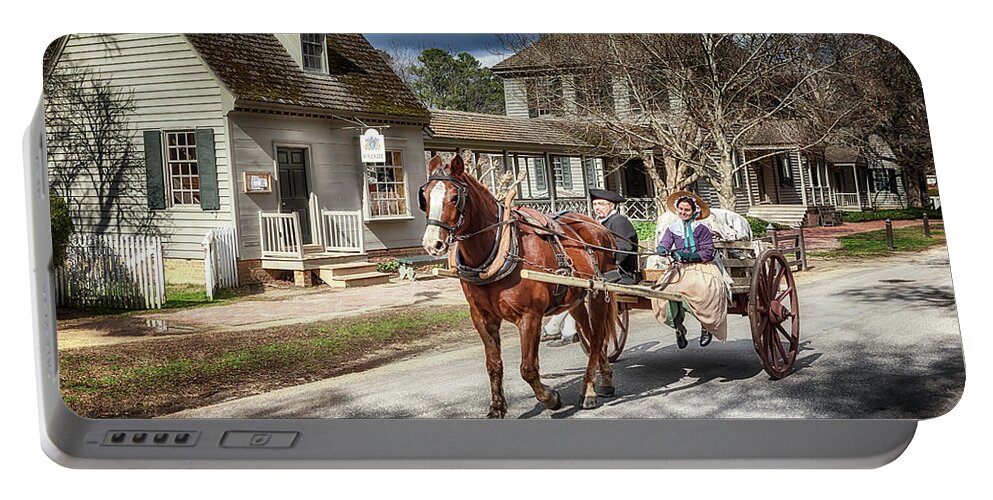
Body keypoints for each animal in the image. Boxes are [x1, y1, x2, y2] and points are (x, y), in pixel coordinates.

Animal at [418, 153, 620, 418]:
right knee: (588, 334)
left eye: (455, 197)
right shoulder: (482, 317)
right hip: (575, 298)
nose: (433, 243)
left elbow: (528, 368)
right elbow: (494, 365)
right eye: (425, 196)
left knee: (596, 338)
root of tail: (599, 227)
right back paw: (604, 379)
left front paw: (550, 398)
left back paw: (588, 391)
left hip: (598, 294)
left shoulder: (530, 316)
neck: (501, 248)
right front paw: (496, 407)